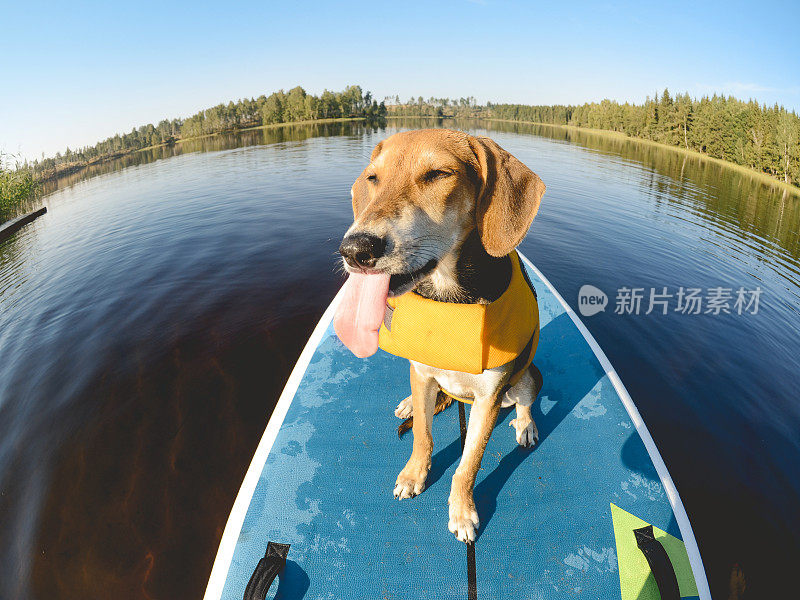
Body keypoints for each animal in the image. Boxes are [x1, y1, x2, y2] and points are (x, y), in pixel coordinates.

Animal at [332, 127, 544, 544]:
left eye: (438, 175)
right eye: (372, 178)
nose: (355, 249)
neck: (448, 295)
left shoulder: (488, 400)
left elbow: (469, 464)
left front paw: (462, 511)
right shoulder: (423, 372)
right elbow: (422, 438)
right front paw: (414, 475)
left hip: (526, 376)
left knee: (526, 401)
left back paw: (526, 425)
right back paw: (411, 404)